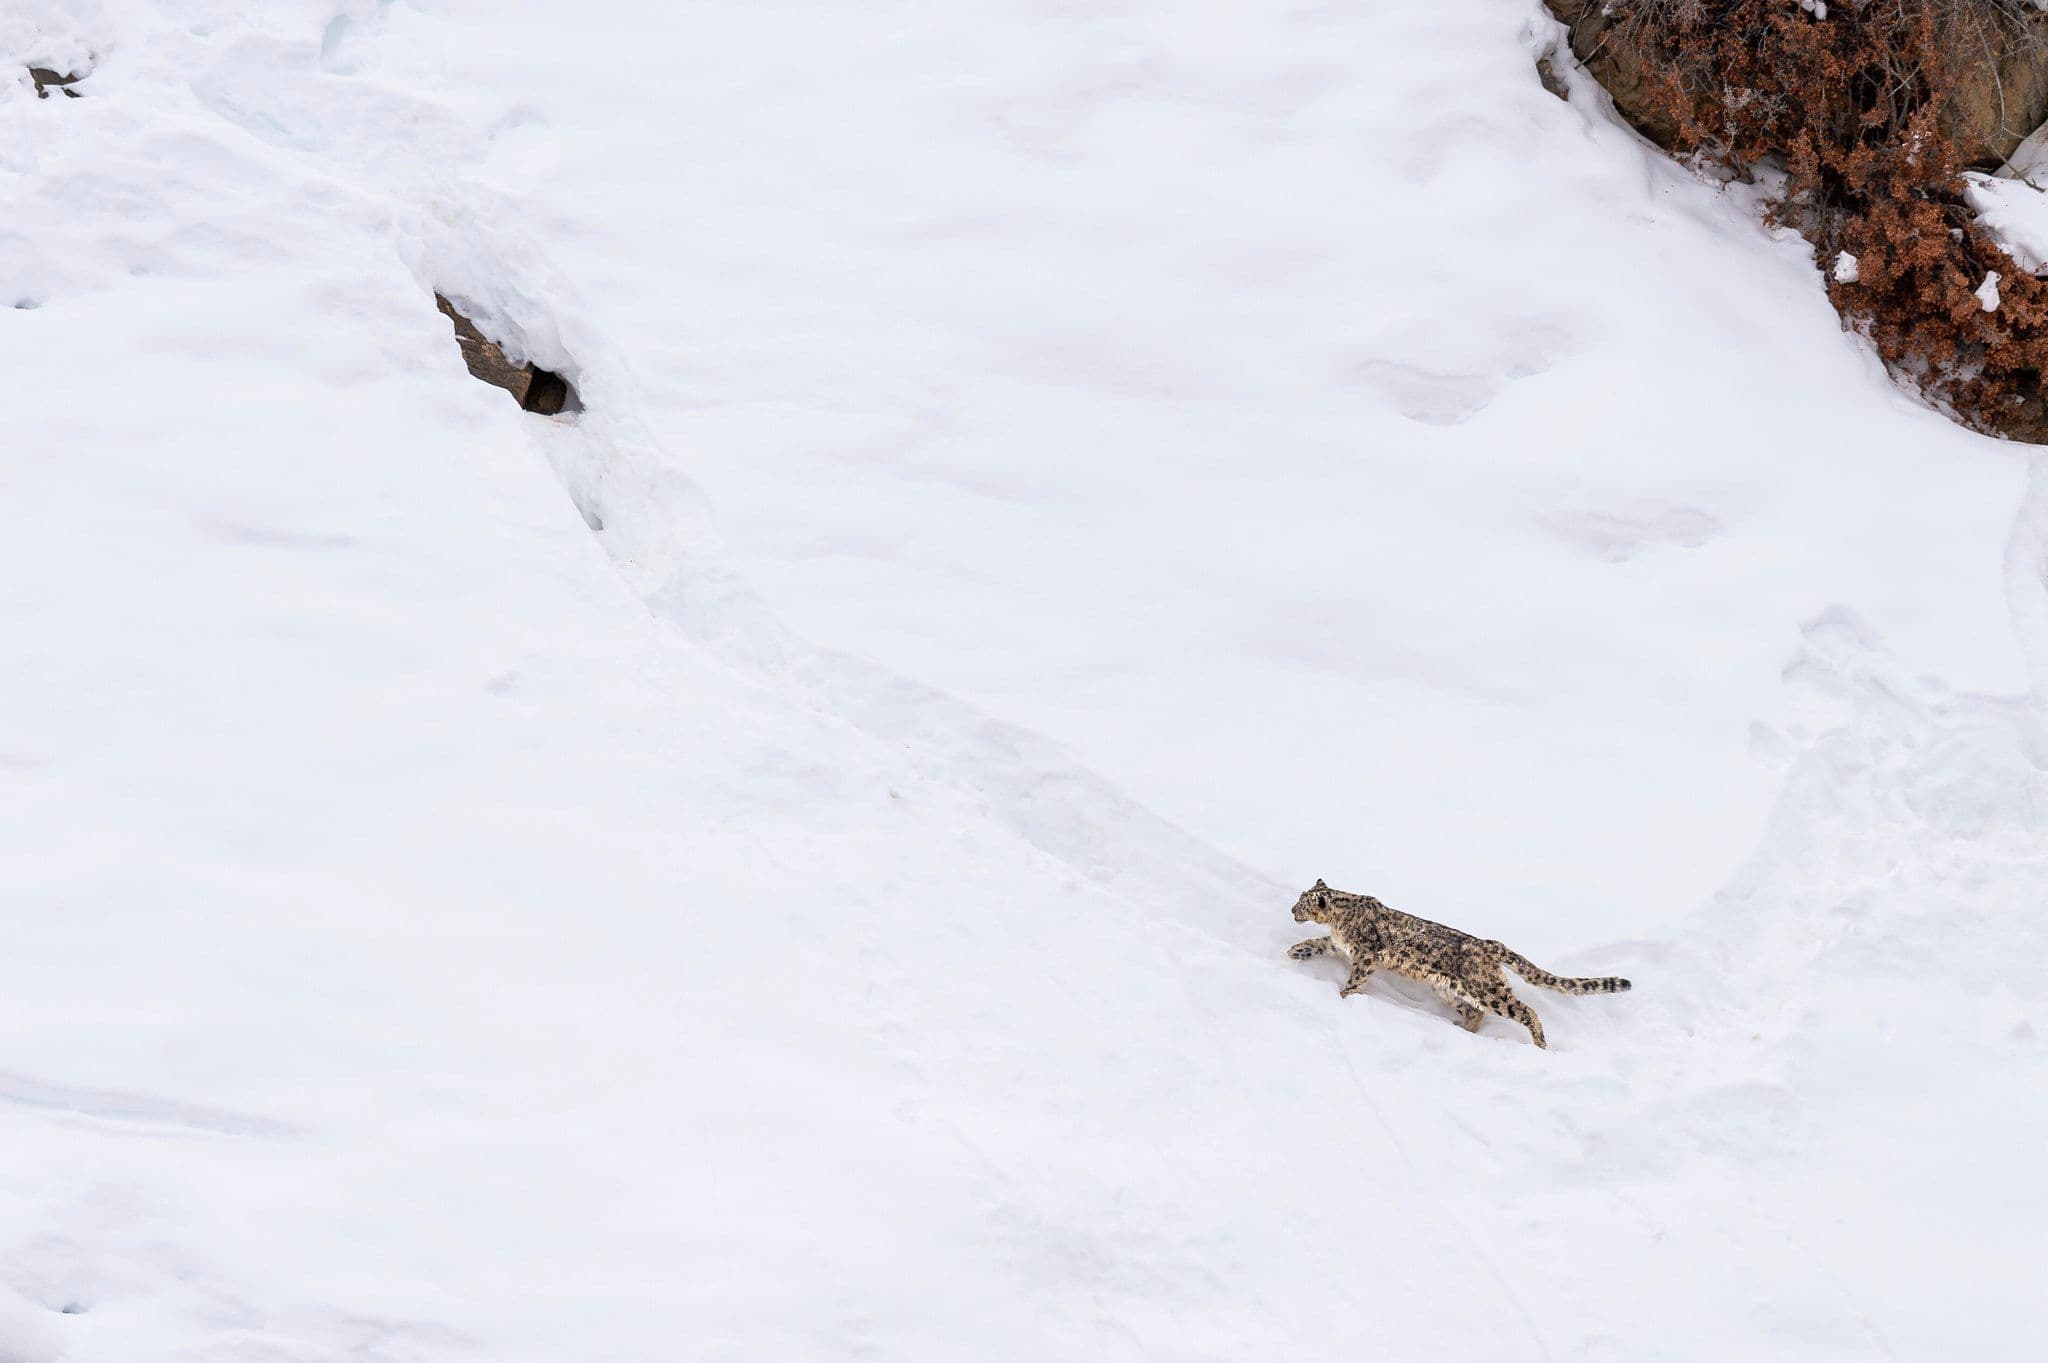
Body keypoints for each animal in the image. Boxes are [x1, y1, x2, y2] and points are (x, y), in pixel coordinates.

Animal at [1286, 879, 1629, 1048]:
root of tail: (1490, 944)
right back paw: (1461, 1030)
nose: (1291, 910)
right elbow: (1318, 944)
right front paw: (1295, 951)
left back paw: (1540, 1044)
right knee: (1475, 1012)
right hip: (1450, 990)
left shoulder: (1366, 956)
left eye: (1303, 902)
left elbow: (1356, 979)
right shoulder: (1338, 945)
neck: (1339, 920)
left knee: (1524, 1010)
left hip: (1488, 990)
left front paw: (1343, 998)